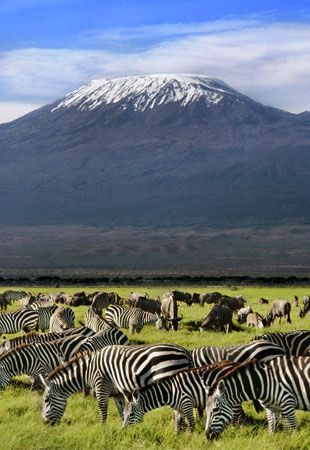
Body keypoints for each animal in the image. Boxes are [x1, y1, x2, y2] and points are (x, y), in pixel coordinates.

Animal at [40, 342, 193, 424]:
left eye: (46, 400)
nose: (45, 423)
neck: (88, 370)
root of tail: (185, 351)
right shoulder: (117, 393)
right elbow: (122, 412)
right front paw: (125, 429)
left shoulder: (101, 386)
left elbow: (102, 411)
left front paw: (103, 431)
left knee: (178, 412)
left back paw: (176, 432)